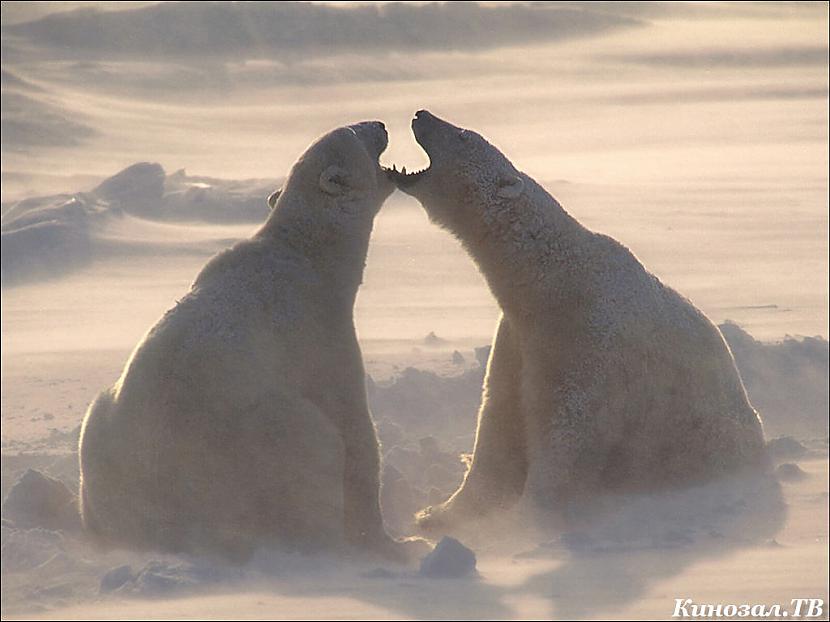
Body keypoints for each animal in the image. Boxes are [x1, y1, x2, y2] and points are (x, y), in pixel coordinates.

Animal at [79, 120, 412, 560]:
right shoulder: (319, 332)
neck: (303, 252)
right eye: (354, 133)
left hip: (100, 442)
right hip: (249, 439)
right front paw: (391, 542)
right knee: (311, 445)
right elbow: (353, 425)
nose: (380, 124)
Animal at [394, 111, 772, 532]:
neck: (553, 278)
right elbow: (498, 421)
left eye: (462, 135)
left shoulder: (584, 340)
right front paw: (439, 514)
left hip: (704, 437)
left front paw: (524, 522)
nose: (421, 114)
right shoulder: (518, 340)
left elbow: (566, 429)